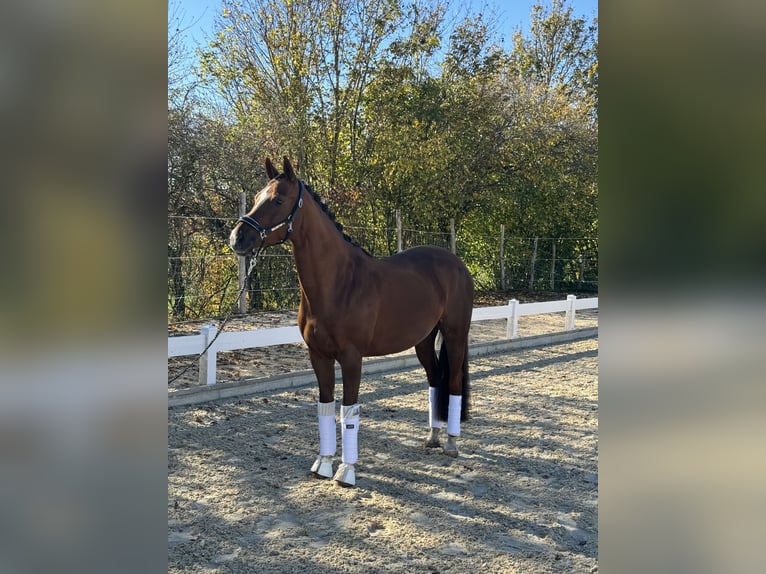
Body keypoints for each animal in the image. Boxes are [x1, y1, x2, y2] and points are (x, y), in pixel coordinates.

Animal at [231, 156, 476, 486]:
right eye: (257, 197)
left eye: (278, 199)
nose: (238, 237)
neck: (339, 283)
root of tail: (456, 264)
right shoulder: (318, 356)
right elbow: (324, 407)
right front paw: (323, 464)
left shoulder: (351, 358)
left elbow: (349, 411)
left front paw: (346, 471)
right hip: (424, 340)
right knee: (435, 378)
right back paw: (433, 437)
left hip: (455, 333)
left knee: (452, 382)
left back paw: (451, 442)